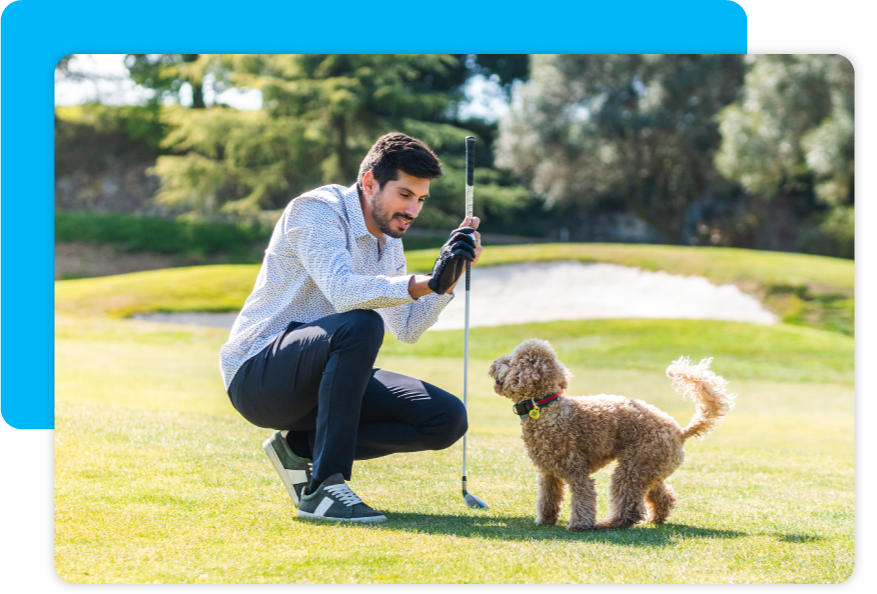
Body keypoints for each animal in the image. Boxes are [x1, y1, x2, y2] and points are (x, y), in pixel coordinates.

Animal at [490, 340, 736, 528]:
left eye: (510, 361)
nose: (493, 363)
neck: (545, 406)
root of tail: (679, 431)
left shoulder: (576, 470)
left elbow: (583, 497)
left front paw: (580, 525)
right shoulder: (548, 473)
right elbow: (548, 499)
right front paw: (545, 521)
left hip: (633, 467)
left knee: (630, 505)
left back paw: (612, 523)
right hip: (649, 468)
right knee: (663, 495)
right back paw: (657, 518)